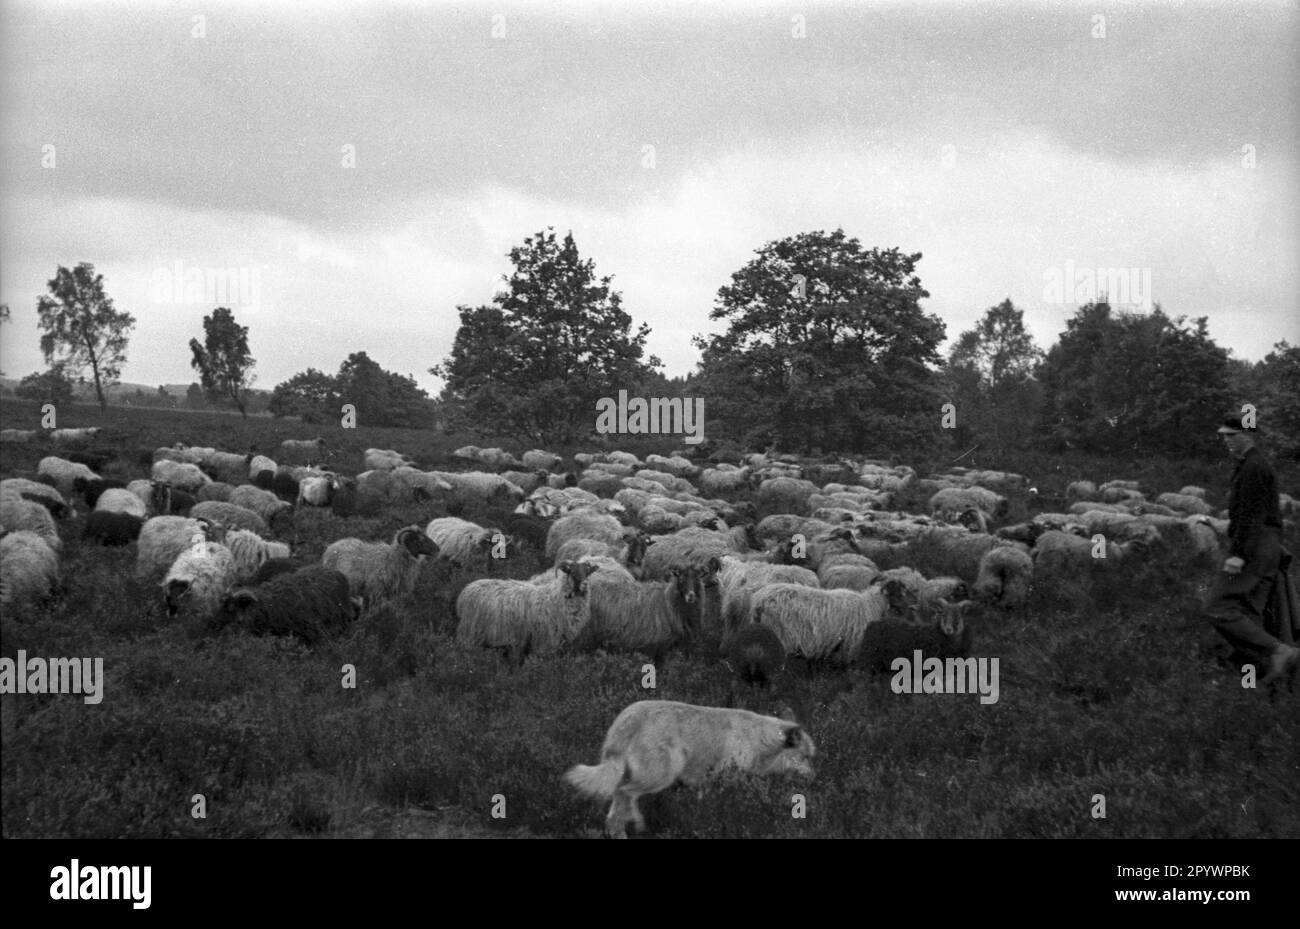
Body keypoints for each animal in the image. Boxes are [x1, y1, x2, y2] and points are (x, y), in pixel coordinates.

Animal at [454, 558, 600, 662]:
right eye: (572, 572)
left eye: (587, 572)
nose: (585, 585)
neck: (556, 598)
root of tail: (467, 590)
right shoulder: (544, 641)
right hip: (470, 633)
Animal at [566, 701, 811, 841]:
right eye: (806, 758)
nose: (814, 779)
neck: (761, 739)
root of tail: (628, 719)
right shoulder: (728, 778)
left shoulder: (707, 784)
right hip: (662, 775)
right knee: (627, 794)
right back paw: (638, 823)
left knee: (615, 806)